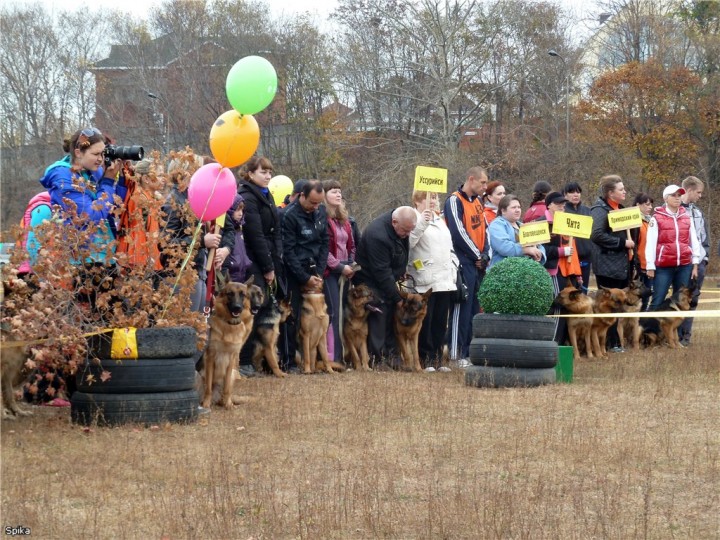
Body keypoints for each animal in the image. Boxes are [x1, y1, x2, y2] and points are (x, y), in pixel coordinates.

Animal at [202, 276, 256, 408]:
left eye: (243, 295)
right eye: (230, 293)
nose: (237, 307)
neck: (228, 325)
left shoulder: (231, 359)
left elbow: (226, 388)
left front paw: (228, 405)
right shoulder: (210, 358)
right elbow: (208, 387)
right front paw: (206, 404)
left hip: (233, 374)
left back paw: (226, 401)